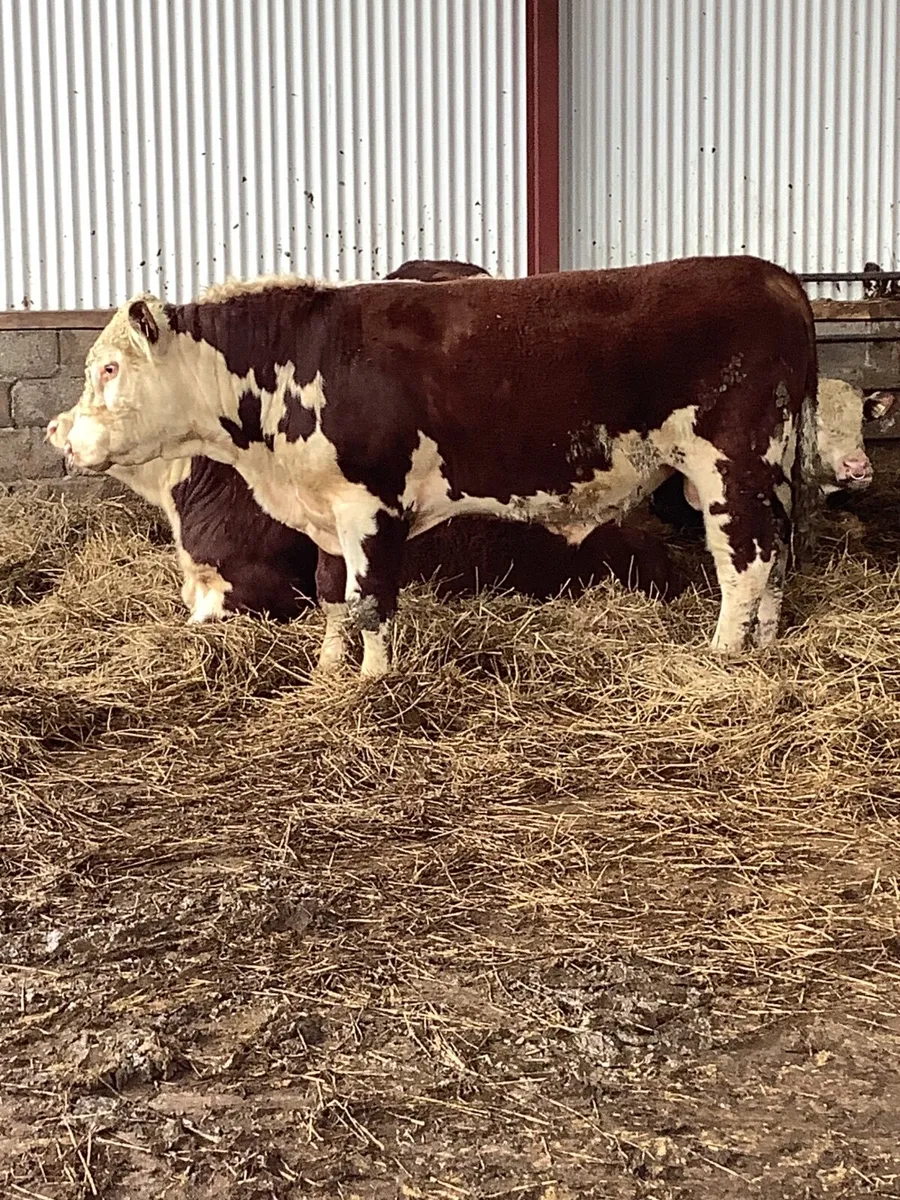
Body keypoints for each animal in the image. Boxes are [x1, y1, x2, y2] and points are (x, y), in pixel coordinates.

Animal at [54, 254, 818, 677]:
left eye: (111, 368)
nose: (60, 436)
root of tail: (773, 276)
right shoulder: (326, 509)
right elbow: (333, 594)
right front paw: (328, 671)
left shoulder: (370, 505)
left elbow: (370, 601)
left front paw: (372, 683)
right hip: (770, 468)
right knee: (778, 554)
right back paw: (766, 642)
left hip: (729, 463)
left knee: (745, 561)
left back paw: (724, 654)